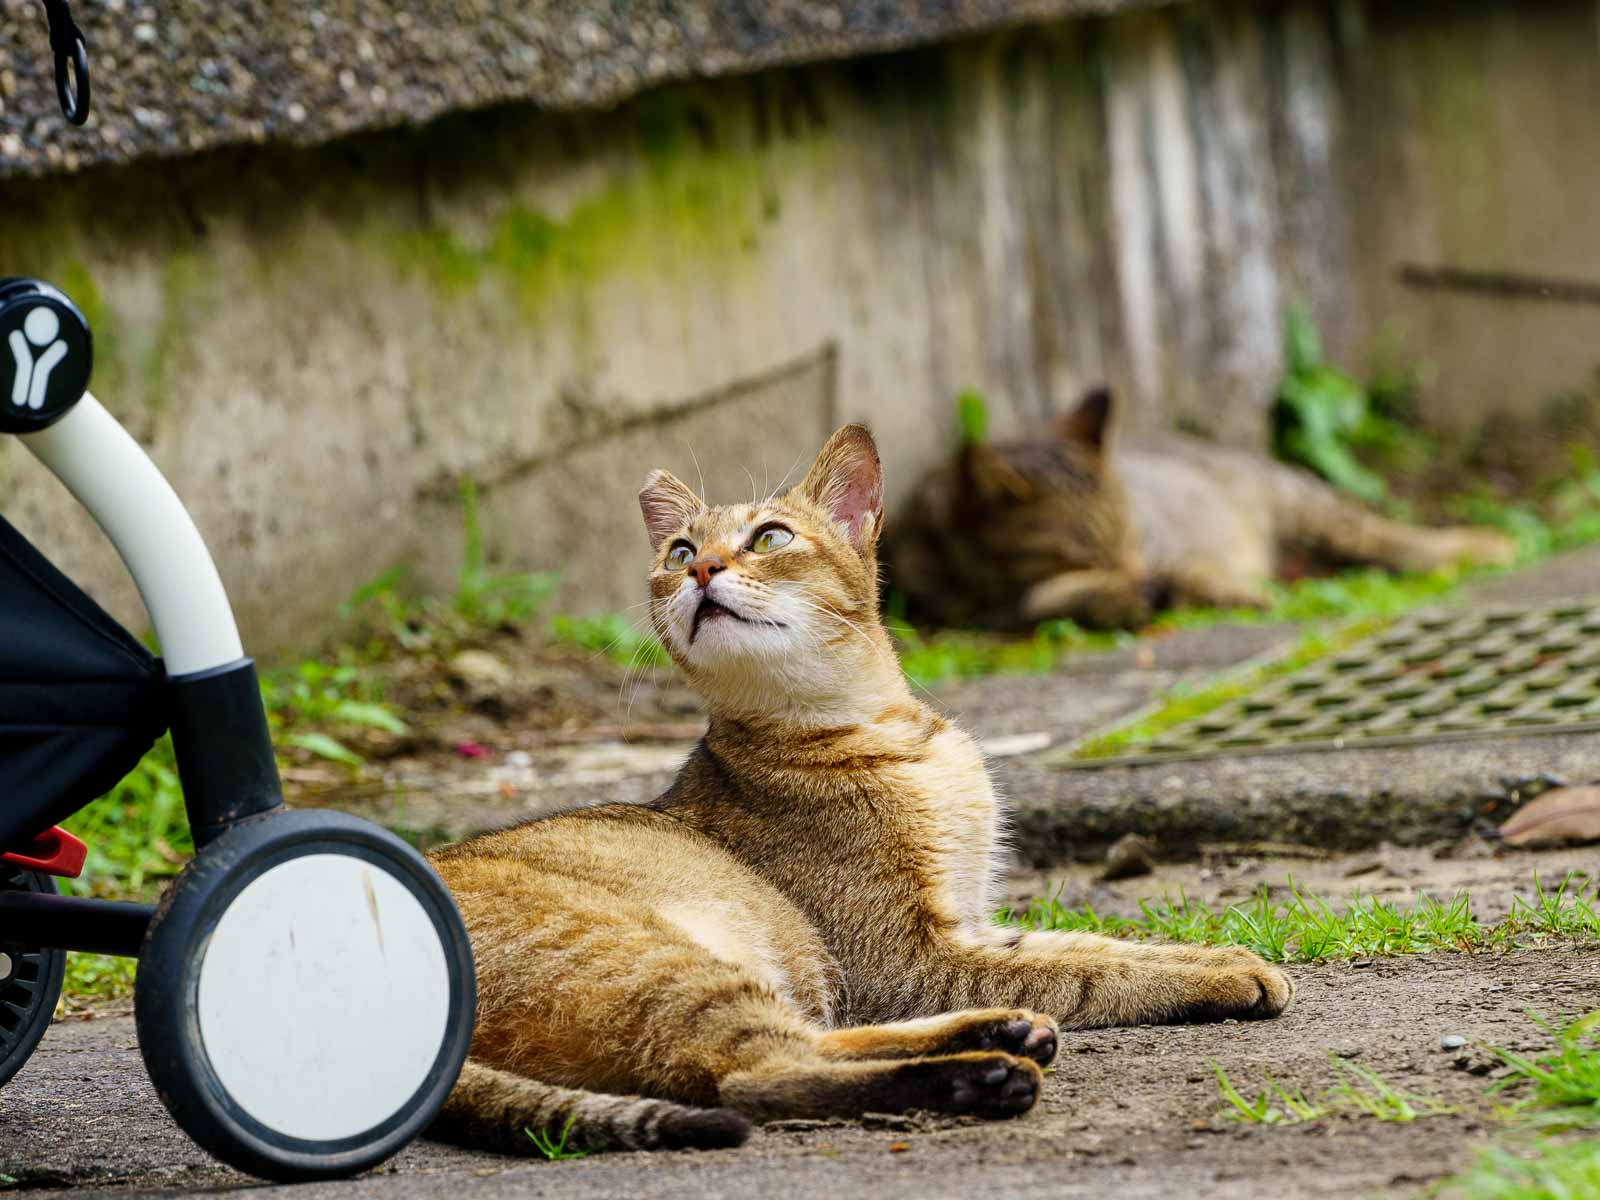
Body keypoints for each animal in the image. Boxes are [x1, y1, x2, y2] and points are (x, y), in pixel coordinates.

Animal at [432, 422, 1292, 1158]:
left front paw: (1220, 956)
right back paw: (983, 1075)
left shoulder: (965, 924)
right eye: (679, 552)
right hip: (655, 960)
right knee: (756, 1077)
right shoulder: (905, 959)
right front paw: (1222, 973)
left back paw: (998, 1033)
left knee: (805, 1042)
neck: (883, 729)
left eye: (769, 538)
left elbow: (1089, 945)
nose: (703, 570)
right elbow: (1091, 971)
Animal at [889, 390, 1510, 633]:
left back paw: (1477, 545)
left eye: (1136, 537)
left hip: (1312, 510)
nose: (1138, 571)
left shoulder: (1170, 546)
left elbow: (1189, 570)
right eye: (1087, 552)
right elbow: (1047, 596)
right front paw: (1119, 595)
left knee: (1388, 536)